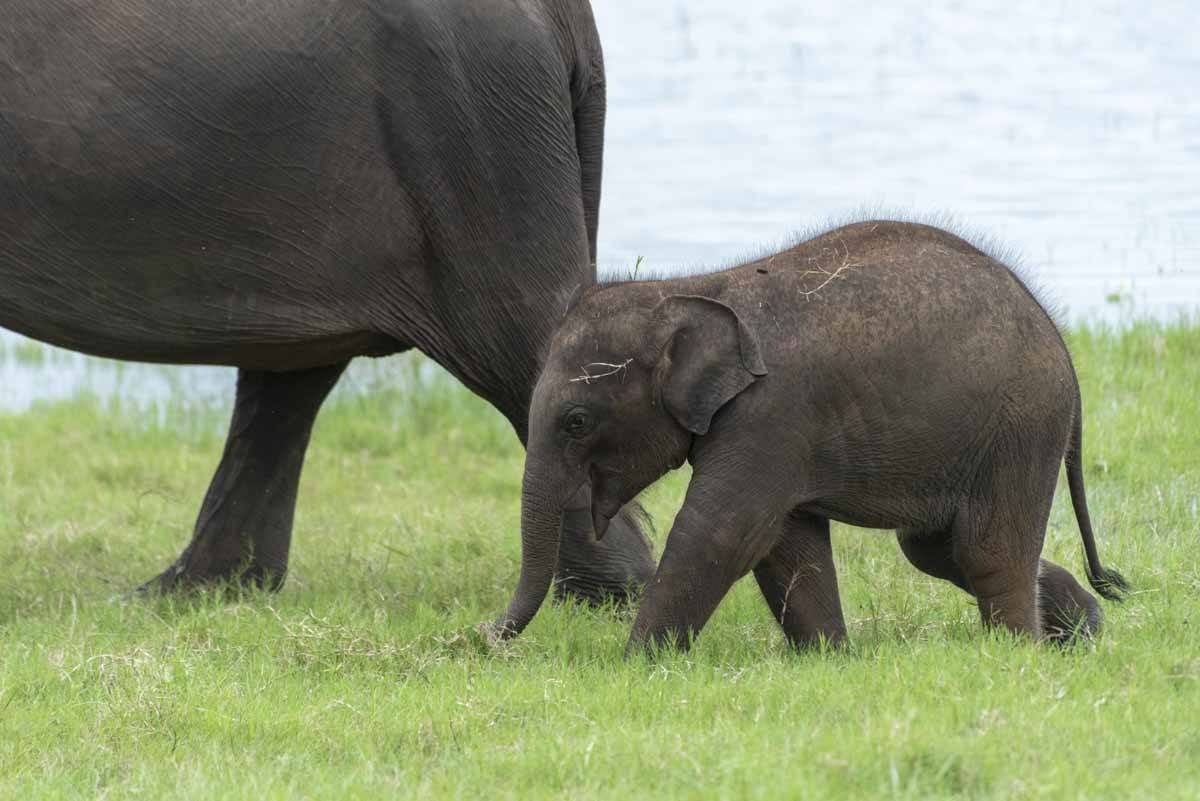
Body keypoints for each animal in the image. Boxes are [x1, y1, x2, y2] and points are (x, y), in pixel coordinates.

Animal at [0, 0, 657, 599]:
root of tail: (570, 21)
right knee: (293, 372)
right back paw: (190, 592)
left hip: (470, 139)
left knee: (523, 349)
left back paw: (608, 596)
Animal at [494, 219, 1123, 652]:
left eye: (576, 421)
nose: (483, 639)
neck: (691, 287)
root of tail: (1062, 344)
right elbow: (785, 543)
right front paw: (831, 659)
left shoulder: (769, 414)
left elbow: (721, 533)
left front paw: (635, 666)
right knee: (935, 548)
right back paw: (1082, 629)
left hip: (1020, 426)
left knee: (985, 550)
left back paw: (1019, 652)